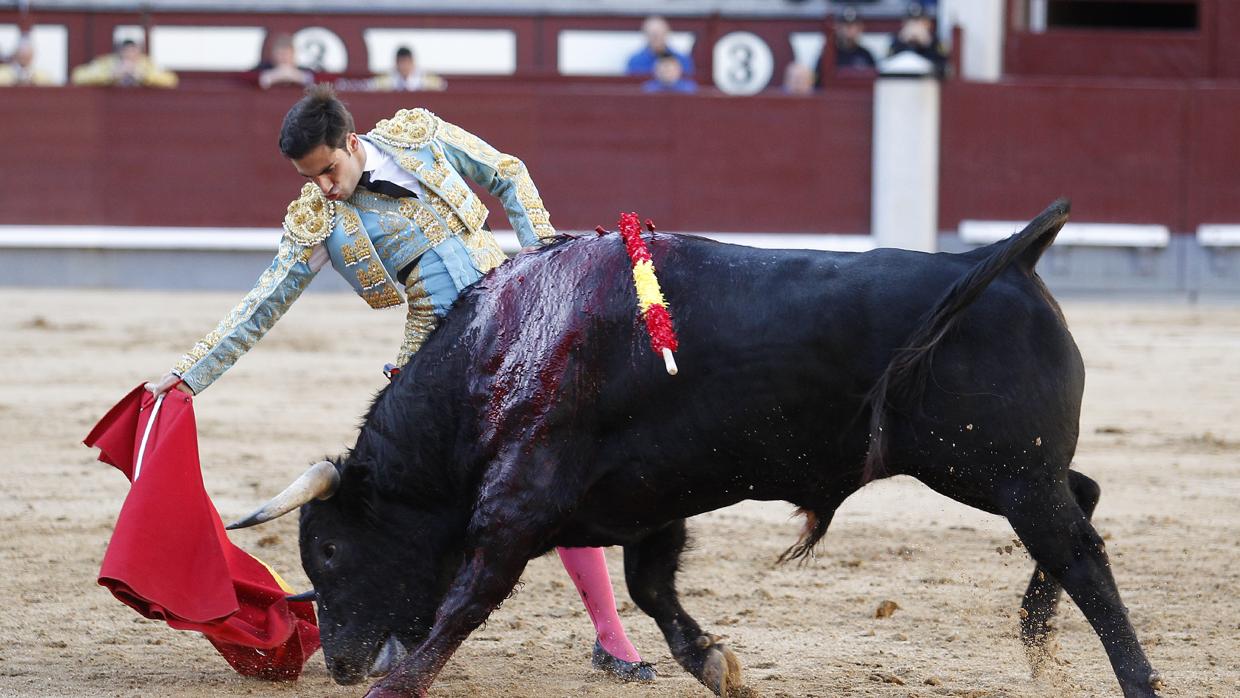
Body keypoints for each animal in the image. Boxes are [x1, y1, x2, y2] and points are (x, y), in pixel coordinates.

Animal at [234, 199, 1160, 694]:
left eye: (329, 550)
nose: (340, 663)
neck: (502, 353)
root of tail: (1007, 258)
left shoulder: (518, 503)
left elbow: (470, 596)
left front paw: (401, 681)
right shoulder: (648, 503)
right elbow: (652, 590)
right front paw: (717, 664)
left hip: (998, 470)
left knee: (1081, 554)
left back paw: (1131, 676)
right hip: (996, 467)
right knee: (1082, 500)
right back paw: (1037, 633)